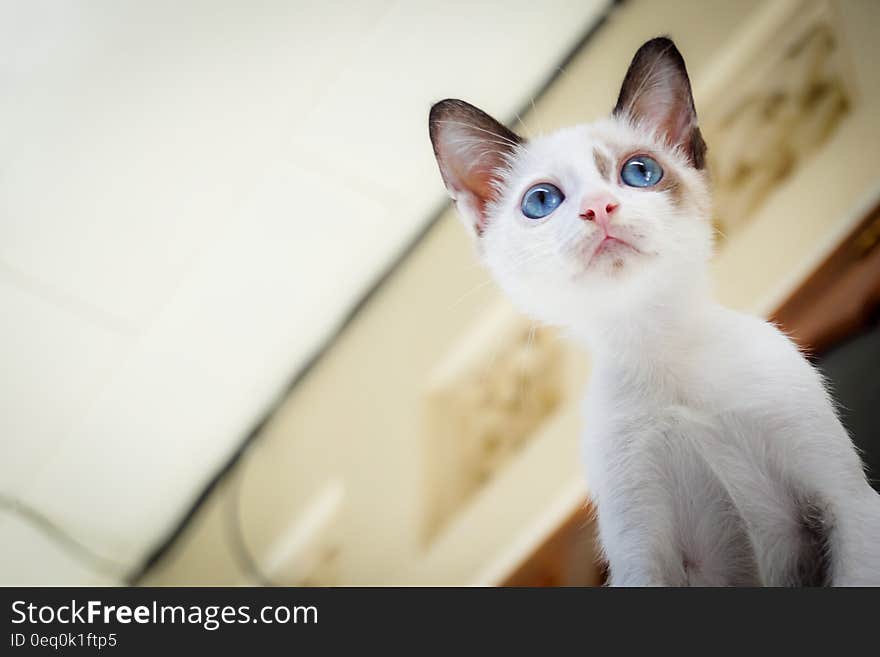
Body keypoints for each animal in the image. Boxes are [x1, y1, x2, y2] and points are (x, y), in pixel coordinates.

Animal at [428, 38, 880, 588]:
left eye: (639, 172)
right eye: (541, 201)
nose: (599, 207)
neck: (655, 346)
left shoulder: (847, 505)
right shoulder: (643, 555)